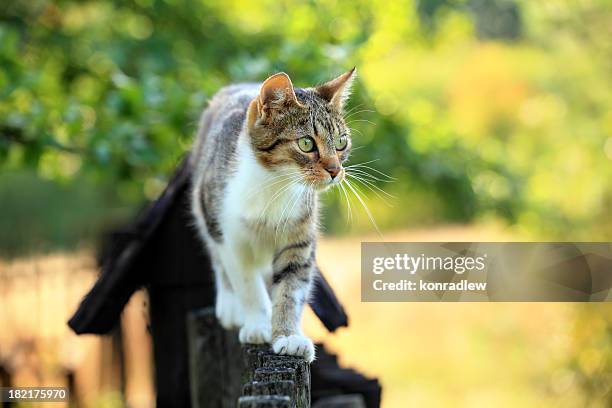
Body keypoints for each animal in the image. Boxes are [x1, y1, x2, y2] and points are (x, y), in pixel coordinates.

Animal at [190, 68, 354, 362]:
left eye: (341, 142)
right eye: (306, 143)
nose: (336, 170)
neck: (276, 186)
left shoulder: (300, 238)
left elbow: (291, 288)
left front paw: (288, 336)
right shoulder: (230, 236)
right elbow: (246, 283)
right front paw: (258, 325)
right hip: (205, 205)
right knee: (217, 257)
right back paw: (230, 306)